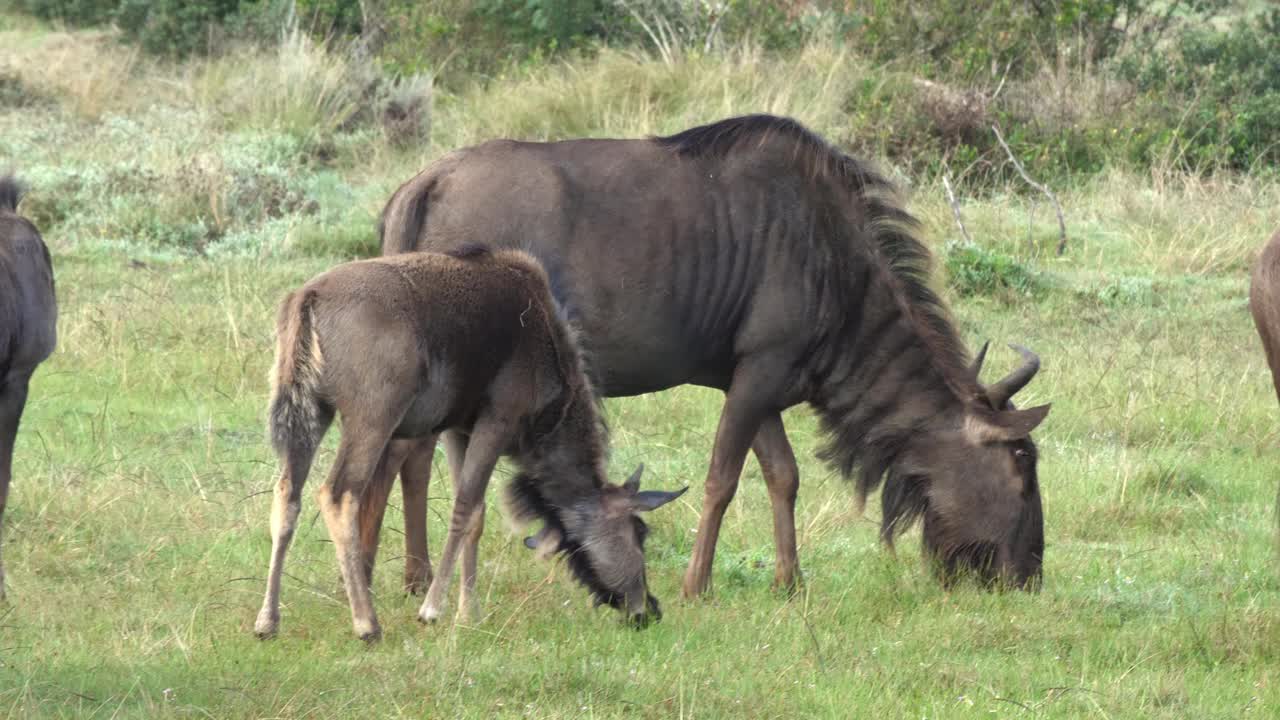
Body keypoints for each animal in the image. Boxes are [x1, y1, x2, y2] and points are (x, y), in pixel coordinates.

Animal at [253, 244, 686, 638]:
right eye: (640, 533)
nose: (647, 609)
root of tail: (307, 299)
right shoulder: (498, 419)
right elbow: (464, 509)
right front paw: (432, 609)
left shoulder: (457, 428)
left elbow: (475, 514)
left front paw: (468, 612)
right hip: (371, 415)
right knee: (338, 494)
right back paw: (366, 623)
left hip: (309, 410)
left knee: (286, 494)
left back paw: (267, 621)